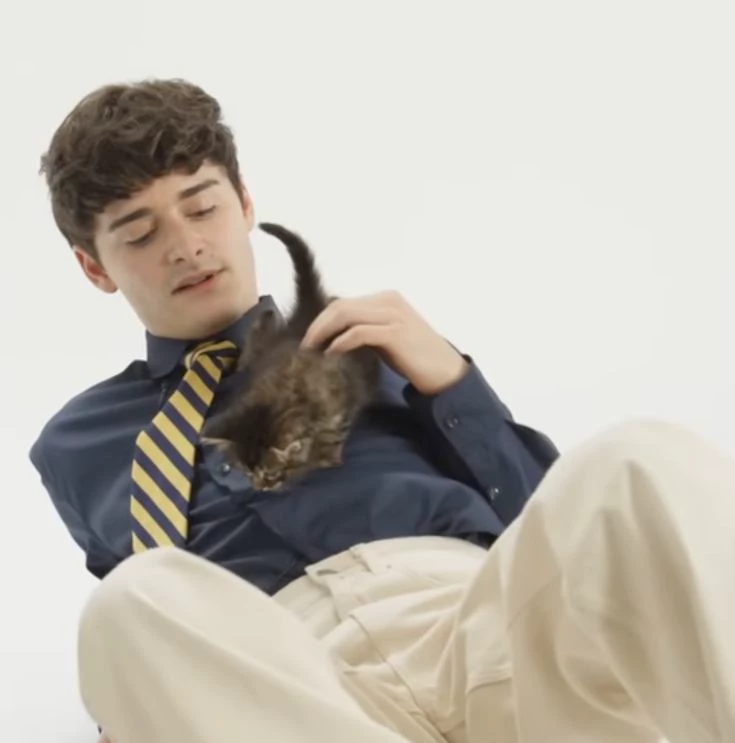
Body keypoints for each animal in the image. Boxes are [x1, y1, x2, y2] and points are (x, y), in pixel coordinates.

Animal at [202, 221, 381, 491]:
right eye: (246, 471)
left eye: (270, 473)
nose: (260, 488)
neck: (284, 392)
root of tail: (307, 315)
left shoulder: (343, 393)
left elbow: (337, 431)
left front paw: (329, 455)